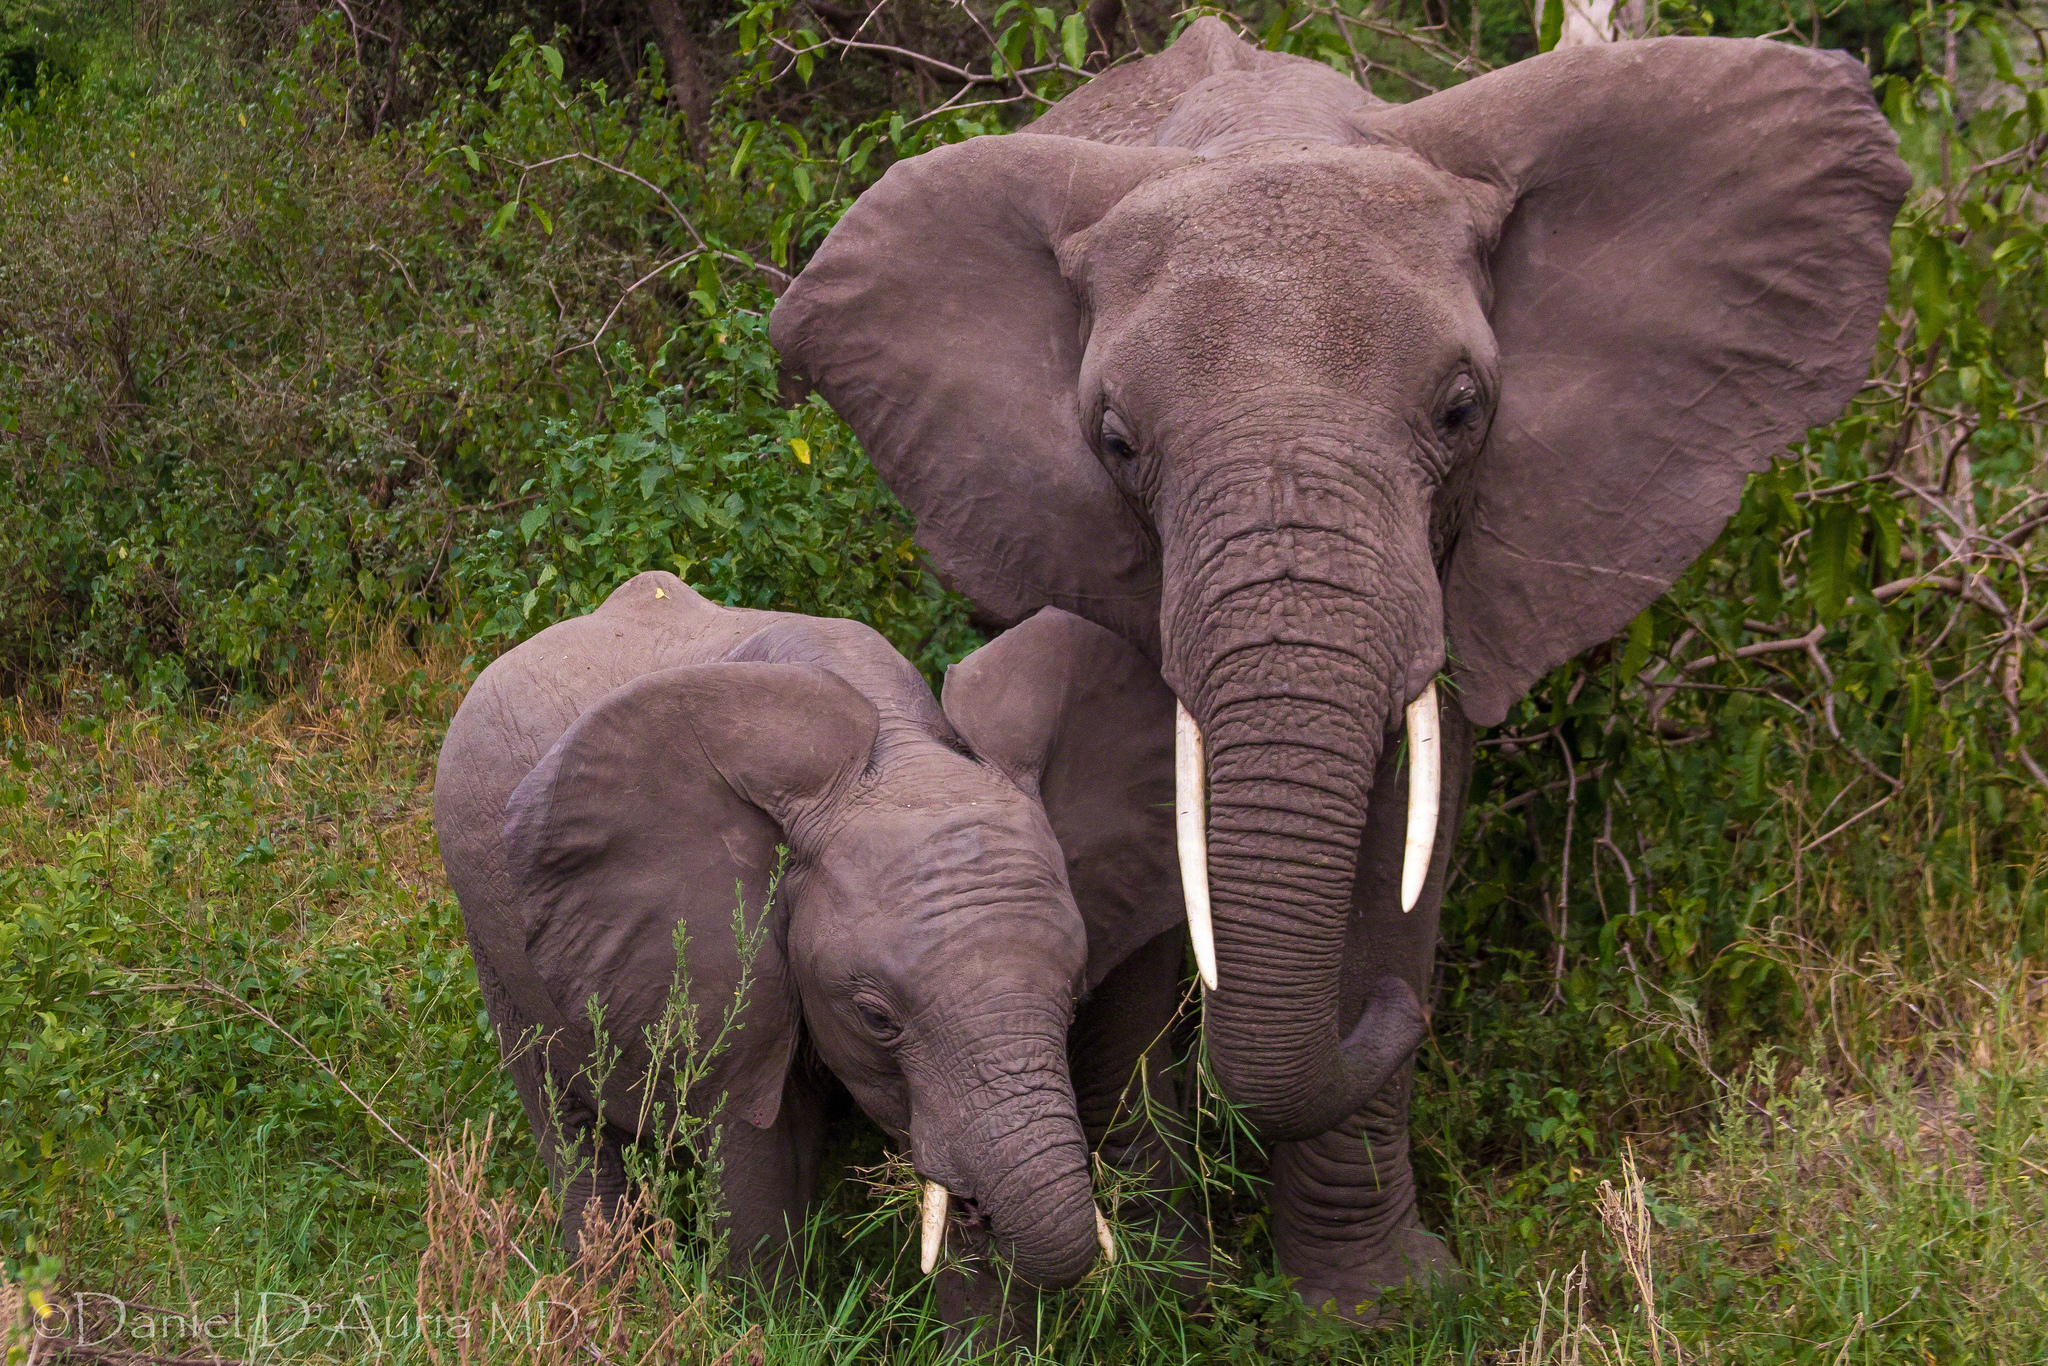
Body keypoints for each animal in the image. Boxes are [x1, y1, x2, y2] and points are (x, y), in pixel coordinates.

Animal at [440, 573, 1196, 1302]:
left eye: (1072, 1003)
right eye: (876, 1019)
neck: (899, 750)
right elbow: (759, 1165)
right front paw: (759, 1322)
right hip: (492, 945)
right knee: (566, 1125)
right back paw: (598, 1298)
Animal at [770, 21, 1900, 1318]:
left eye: (1461, 410)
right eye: (1114, 441)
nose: (1397, 1017)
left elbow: (1403, 840)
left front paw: (1383, 1306)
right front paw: (1183, 1287)